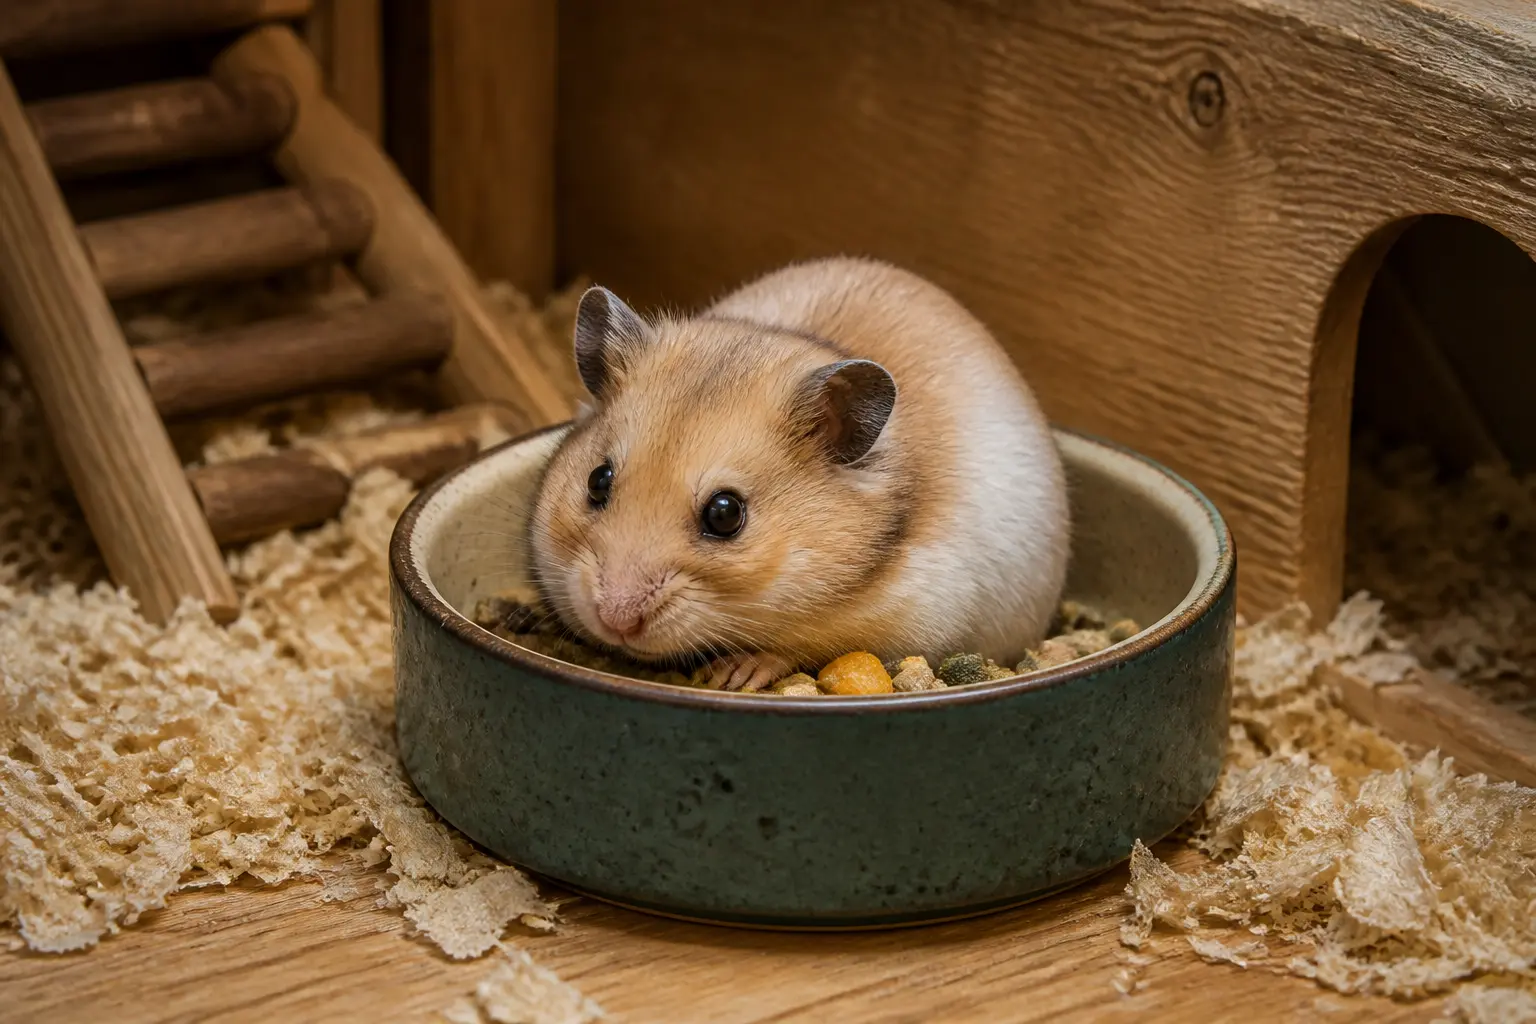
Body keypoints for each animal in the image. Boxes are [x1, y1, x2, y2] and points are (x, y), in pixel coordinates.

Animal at [527, 257, 1070, 692]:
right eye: (597, 481)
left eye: (726, 514)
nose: (614, 618)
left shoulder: (922, 613)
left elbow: (798, 648)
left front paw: (736, 673)